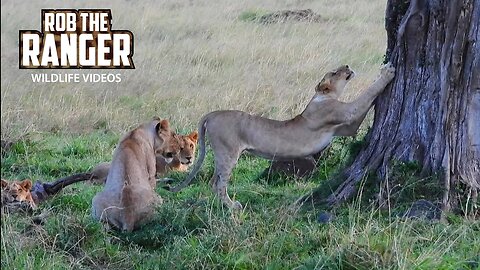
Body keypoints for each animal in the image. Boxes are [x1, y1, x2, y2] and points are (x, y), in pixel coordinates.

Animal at [169, 62, 398, 209]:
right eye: (334, 72)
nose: (348, 65)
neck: (322, 96)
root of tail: (213, 113)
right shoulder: (343, 112)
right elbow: (365, 96)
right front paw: (387, 72)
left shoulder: (346, 128)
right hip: (228, 152)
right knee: (218, 183)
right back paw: (233, 206)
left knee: (212, 181)